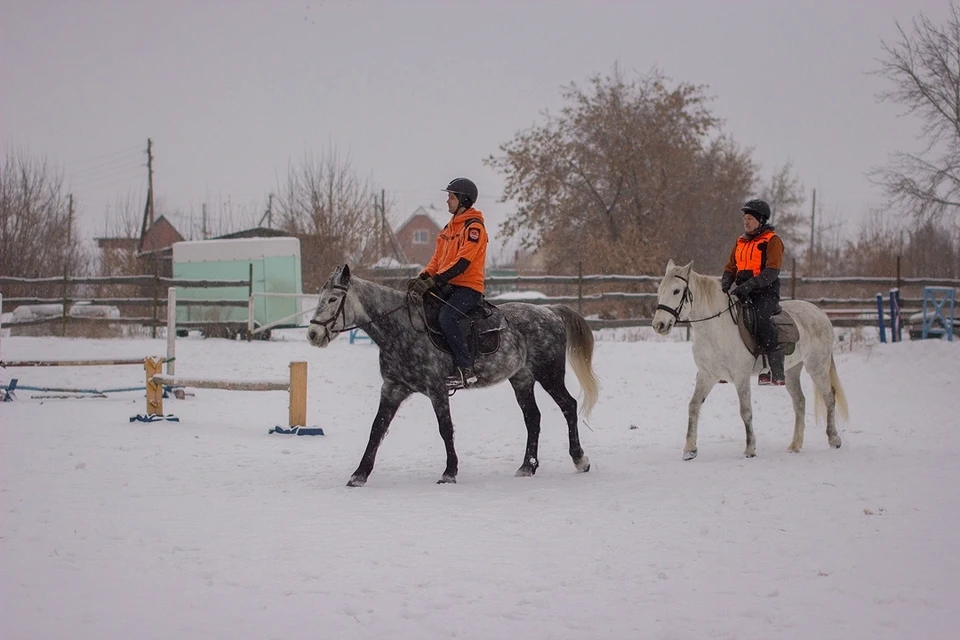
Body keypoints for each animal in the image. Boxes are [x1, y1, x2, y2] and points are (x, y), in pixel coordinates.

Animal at [306, 264, 600, 484]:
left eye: (332, 299)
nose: (313, 334)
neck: (401, 329)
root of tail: (550, 311)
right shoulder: (393, 388)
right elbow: (377, 429)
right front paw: (359, 474)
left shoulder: (436, 389)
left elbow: (445, 428)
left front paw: (449, 472)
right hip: (522, 378)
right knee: (533, 417)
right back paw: (528, 466)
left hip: (549, 373)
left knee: (568, 405)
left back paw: (580, 459)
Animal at [652, 260, 848, 460]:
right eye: (660, 290)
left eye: (676, 291)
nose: (659, 325)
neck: (716, 329)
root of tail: (820, 313)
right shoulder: (706, 375)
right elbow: (693, 406)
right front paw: (690, 450)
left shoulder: (741, 377)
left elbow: (745, 412)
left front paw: (750, 449)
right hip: (791, 371)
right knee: (799, 402)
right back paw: (795, 445)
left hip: (817, 367)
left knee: (829, 397)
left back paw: (834, 439)